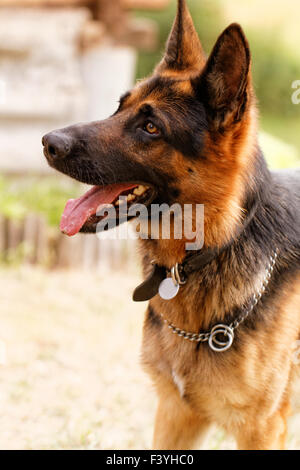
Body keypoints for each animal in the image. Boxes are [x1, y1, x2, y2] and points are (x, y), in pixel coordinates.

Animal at [42, 0, 300, 450]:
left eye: (151, 127)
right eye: (119, 107)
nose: (47, 143)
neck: (214, 247)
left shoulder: (263, 430)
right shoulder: (175, 413)